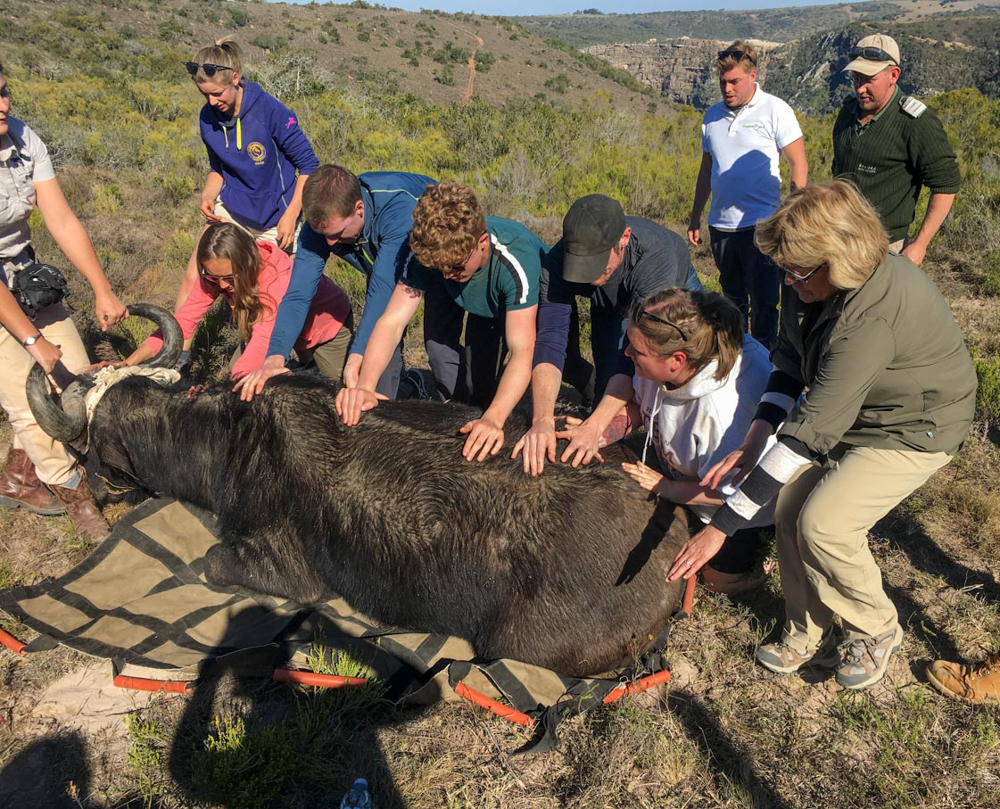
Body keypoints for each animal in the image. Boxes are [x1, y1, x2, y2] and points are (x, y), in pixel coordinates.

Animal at [29, 306, 688, 672]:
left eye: (93, 445)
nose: (94, 486)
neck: (225, 436)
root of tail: (672, 549)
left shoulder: (287, 572)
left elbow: (212, 561)